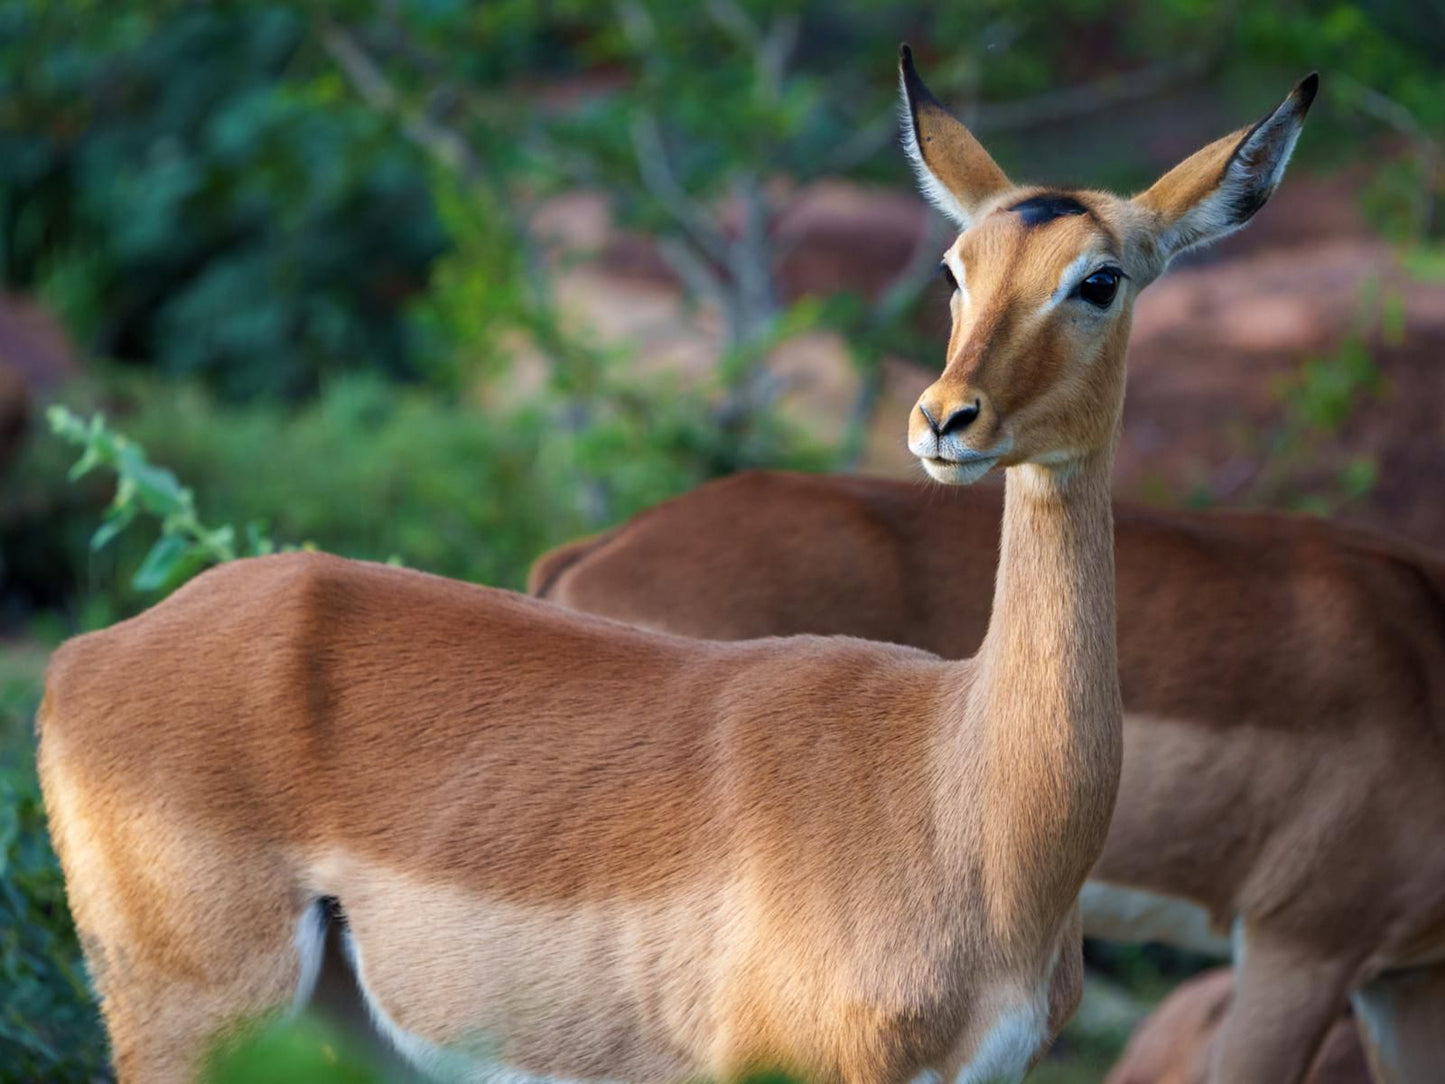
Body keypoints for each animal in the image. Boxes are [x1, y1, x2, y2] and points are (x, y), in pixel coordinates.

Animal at [36, 46, 1323, 1084]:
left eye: (1098, 278)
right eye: (955, 265)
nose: (944, 421)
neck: (963, 799)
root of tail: (83, 659)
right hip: (192, 1025)